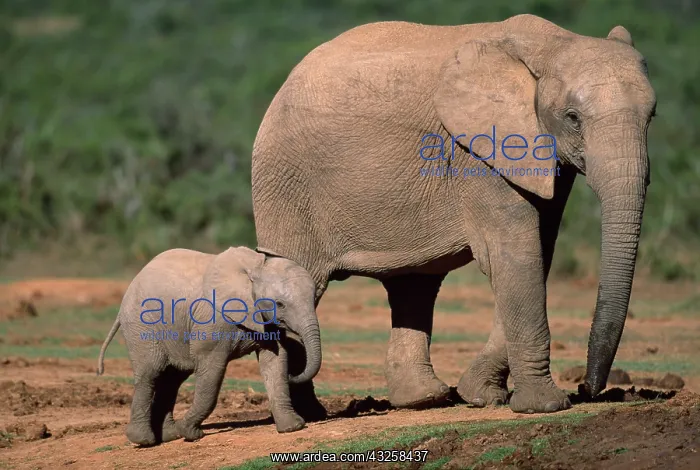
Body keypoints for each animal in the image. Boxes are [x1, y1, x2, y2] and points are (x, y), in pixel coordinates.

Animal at [96, 246, 322, 445]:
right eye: (280, 304)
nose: (295, 374)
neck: (254, 268)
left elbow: (275, 362)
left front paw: (293, 427)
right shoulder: (213, 321)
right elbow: (212, 371)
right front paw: (190, 433)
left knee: (172, 378)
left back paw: (170, 436)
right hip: (142, 325)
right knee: (150, 373)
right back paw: (144, 441)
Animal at [251, 14, 656, 414]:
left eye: (652, 116)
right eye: (573, 117)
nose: (590, 389)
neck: (552, 43)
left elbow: (538, 250)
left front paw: (481, 396)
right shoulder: (479, 150)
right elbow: (513, 253)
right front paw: (546, 406)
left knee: (414, 284)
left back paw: (424, 399)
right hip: (286, 184)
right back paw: (309, 415)